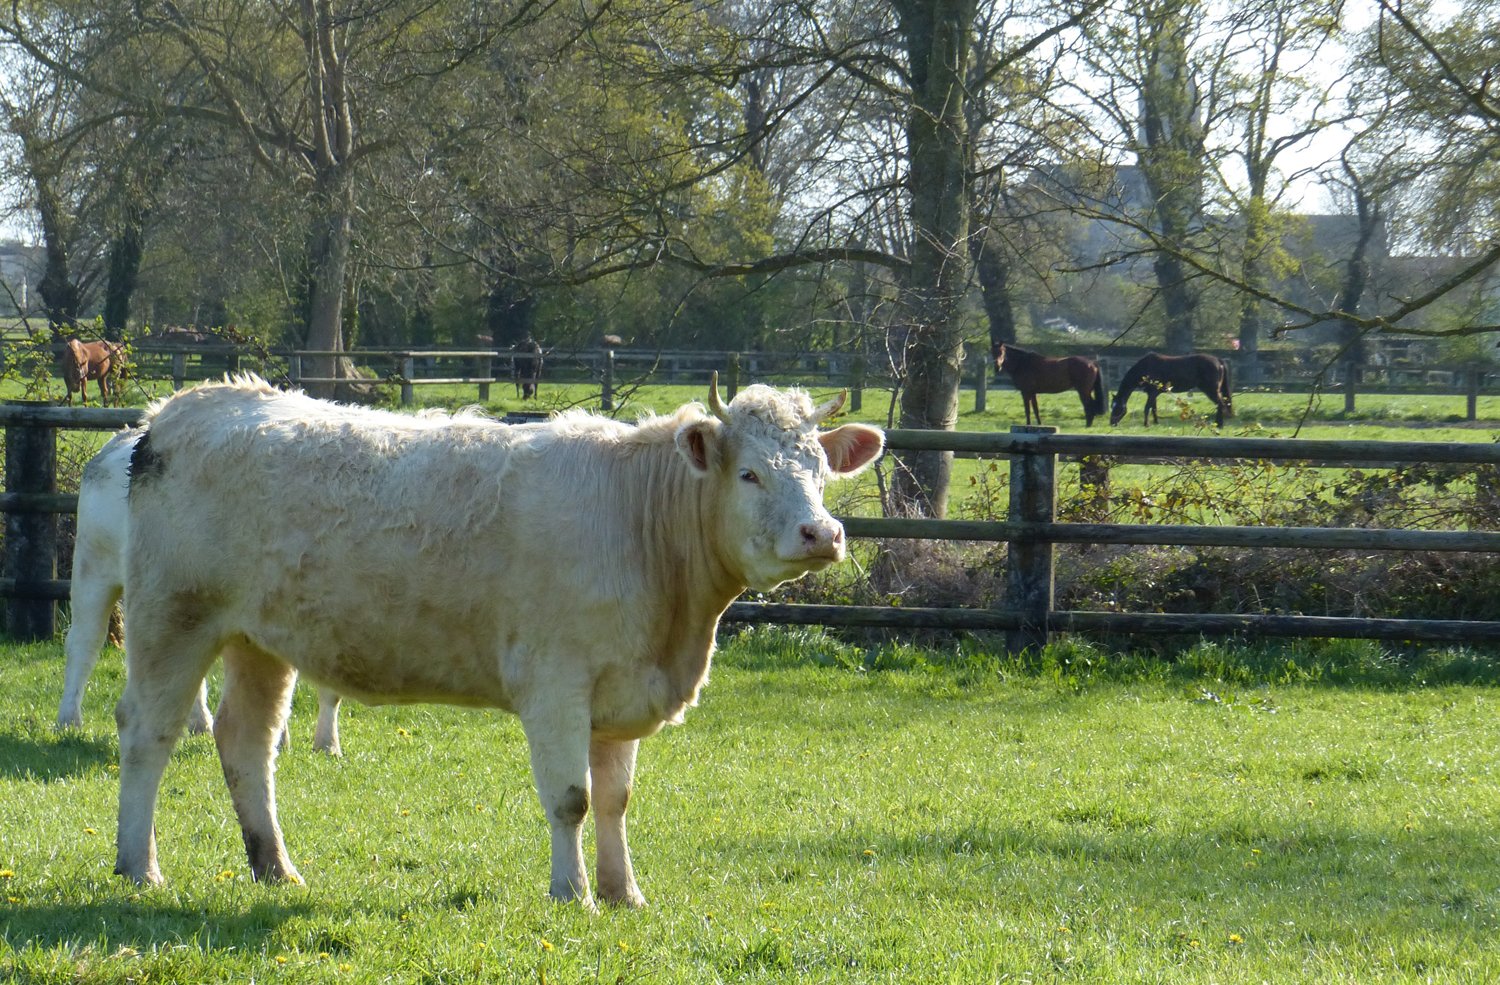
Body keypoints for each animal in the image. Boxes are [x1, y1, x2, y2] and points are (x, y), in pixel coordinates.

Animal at [112, 374, 884, 907]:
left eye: (820, 473)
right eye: (749, 473)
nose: (822, 533)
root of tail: (191, 403)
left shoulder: (621, 686)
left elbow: (615, 799)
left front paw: (623, 892)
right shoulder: (556, 682)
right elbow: (571, 797)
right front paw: (572, 894)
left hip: (257, 640)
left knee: (246, 742)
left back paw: (275, 868)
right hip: (171, 617)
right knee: (148, 733)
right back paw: (138, 867)